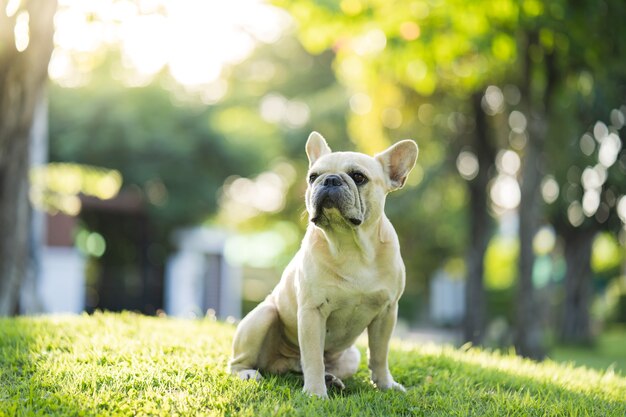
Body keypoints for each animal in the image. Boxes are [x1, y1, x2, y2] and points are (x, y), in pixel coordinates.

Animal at [227, 131, 416, 396]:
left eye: (359, 177)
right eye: (313, 177)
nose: (330, 180)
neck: (351, 245)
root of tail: (281, 365)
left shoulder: (387, 312)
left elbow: (380, 355)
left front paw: (385, 385)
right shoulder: (312, 311)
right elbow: (314, 357)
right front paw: (315, 394)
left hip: (351, 356)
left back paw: (331, 379)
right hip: (263, 316)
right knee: (239, 362)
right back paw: (248, 373)